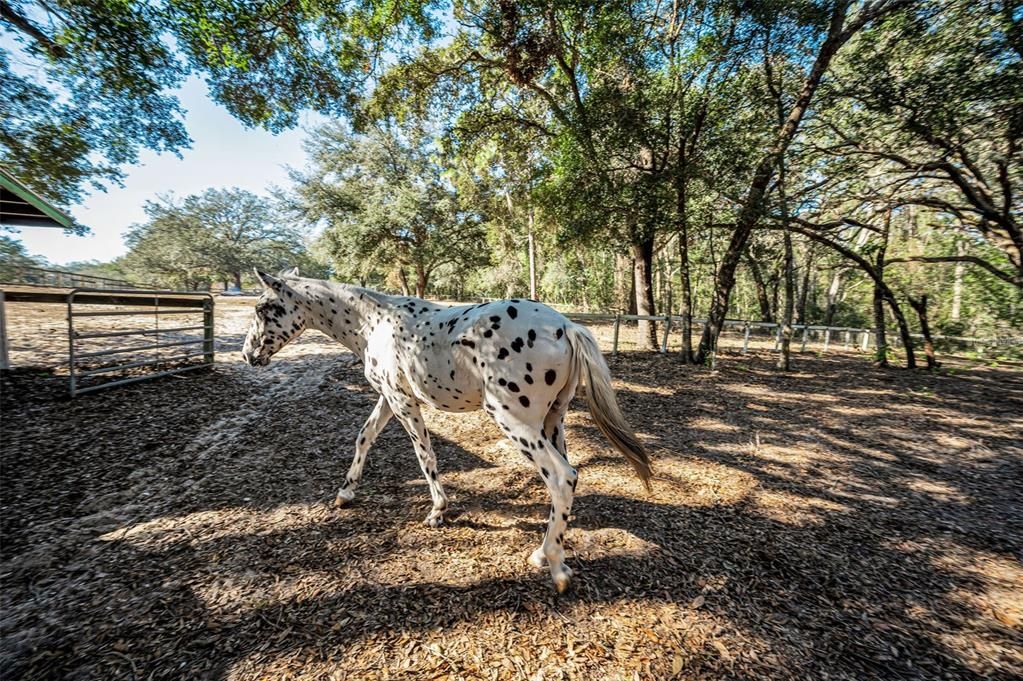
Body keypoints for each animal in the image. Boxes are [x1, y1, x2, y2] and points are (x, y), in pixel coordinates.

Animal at [243, 265, 650, 588]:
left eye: (264, 308)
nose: (249, 355)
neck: (373, 323)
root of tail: (565, 326)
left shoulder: (404, 402)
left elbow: (425, 454)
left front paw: (438, 511)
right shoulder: (388, 398)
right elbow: (365, 437)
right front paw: (346, 493)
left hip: (513, 419)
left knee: (562, 477)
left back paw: (554, 566)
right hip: (553, 420)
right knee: (563, 478)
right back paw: (543, 553)